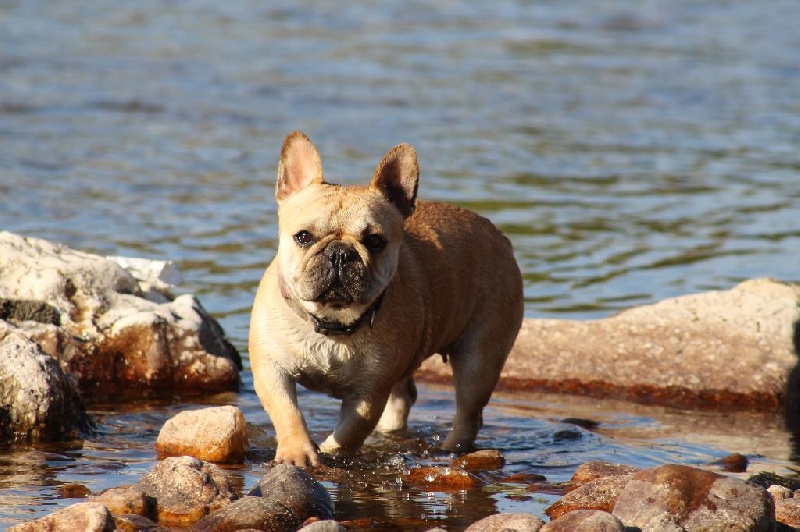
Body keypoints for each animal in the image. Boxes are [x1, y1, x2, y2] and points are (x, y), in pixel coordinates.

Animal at [250, 132, 524, 466]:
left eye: (375, 241)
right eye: (303, 237)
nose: (340, 253)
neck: (332, 321)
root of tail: (500, 237)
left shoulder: (369, 391)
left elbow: (352, 429)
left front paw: (331, 450)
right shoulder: (271, 368)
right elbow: (287, 411)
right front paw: (297, 453)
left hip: (479, 359)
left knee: (468, 413)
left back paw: (450, 450)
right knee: (403, 399)